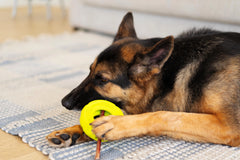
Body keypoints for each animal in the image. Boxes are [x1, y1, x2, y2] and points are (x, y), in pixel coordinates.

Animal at [46, 12, 239, 148]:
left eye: (101, 79)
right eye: (90, 71)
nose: (64, 102)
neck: (168, 77)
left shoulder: (228, 127)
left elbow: (166, 115)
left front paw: (115, 124)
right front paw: (72, 131)